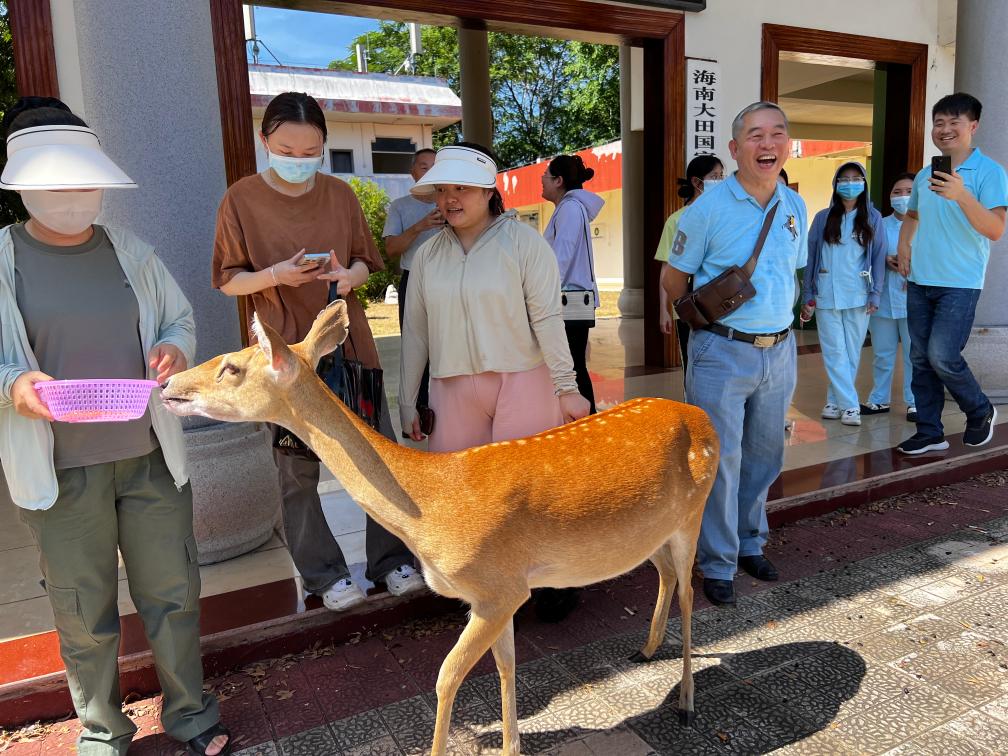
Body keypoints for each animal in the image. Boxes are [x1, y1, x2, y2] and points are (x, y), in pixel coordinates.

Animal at [161, 302, 717, 756]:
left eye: (232, 366)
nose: (166, 385)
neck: (430, 509)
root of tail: (701, 415)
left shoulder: (496, 587)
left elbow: (446, 677)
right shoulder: (502, 593)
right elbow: (506, 666)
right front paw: (511, 748)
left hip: (695, 511)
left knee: (690, 591)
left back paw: (688, 702)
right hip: (650, 532)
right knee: (667, 575)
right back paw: (646, 650)